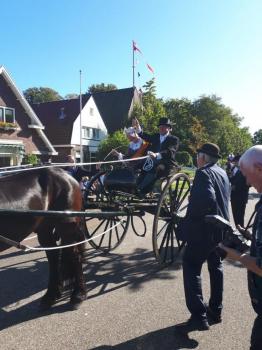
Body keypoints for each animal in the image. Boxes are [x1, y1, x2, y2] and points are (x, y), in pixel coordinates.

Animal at [0, 167, 86, 308]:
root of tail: (67, 175)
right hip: (45, 230)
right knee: (54, 258)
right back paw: (51, 295)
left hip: (66, 226)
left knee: (75, 256)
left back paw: (79, 294)